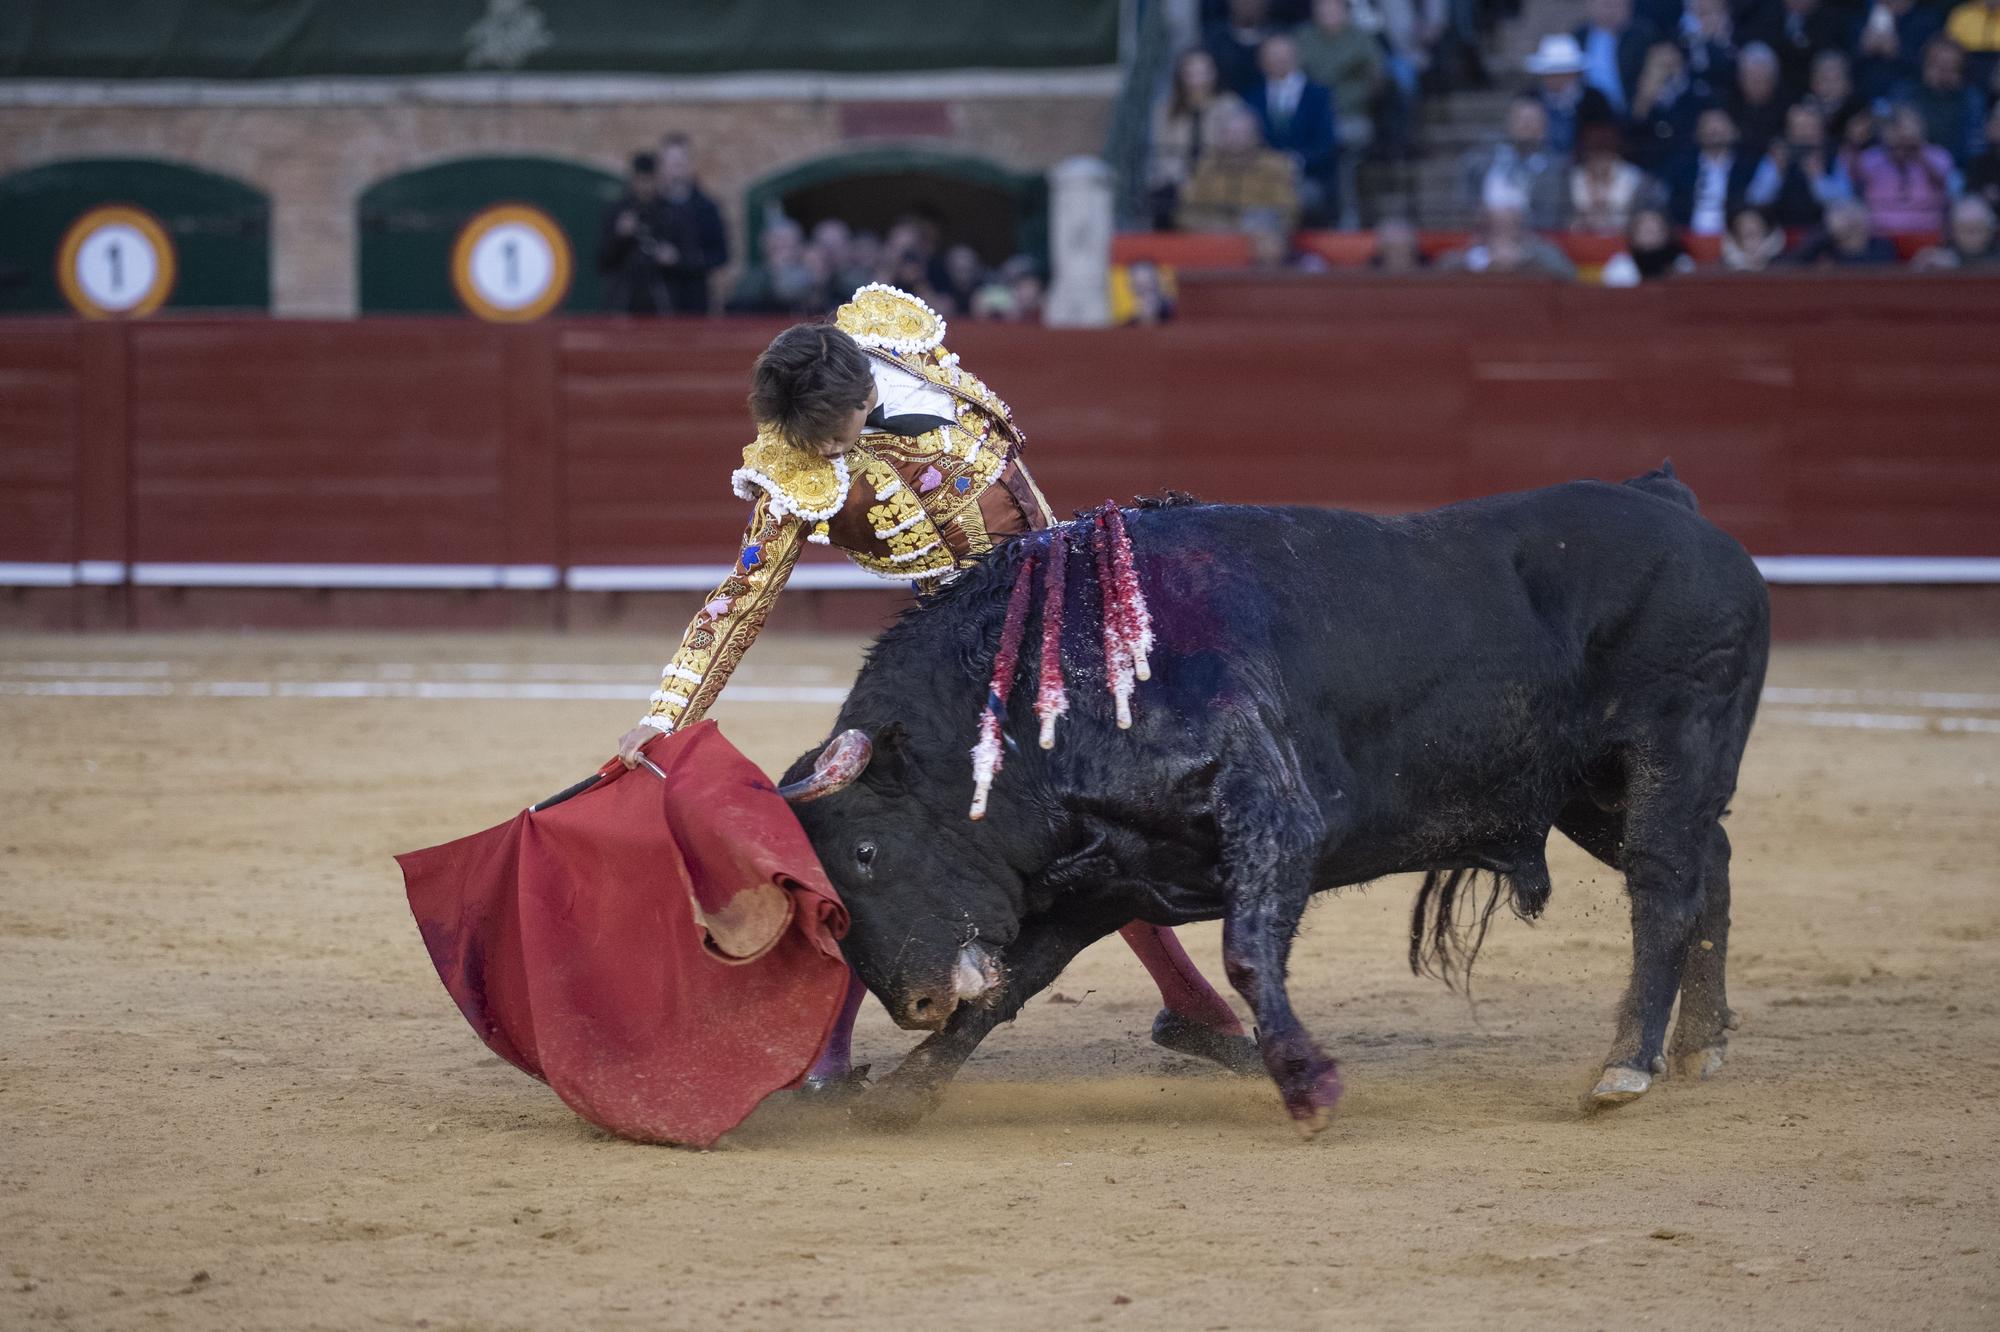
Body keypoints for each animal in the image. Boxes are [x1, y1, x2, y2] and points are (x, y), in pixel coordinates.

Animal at [776, 470, 1768, 1128]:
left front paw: (1306, 1083)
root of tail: (1677, 507)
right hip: (1592, 792)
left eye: (865, 853)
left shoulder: (1276, 821)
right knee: (1710, 864)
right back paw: (1699, 1046)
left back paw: (1626, 1066)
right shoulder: (1110, 876)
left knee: (1664, 884)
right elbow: (1011, 984)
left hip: (1673, 746)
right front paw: (904, 1092)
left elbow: (1249, 953)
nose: (914, 1003)